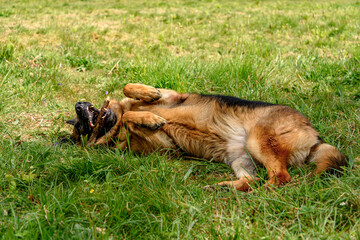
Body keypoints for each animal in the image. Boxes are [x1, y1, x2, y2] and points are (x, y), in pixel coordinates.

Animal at [66, 83, 348, 190]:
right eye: (80, 129)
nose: (79, 104)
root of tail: (316, 140)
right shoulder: (166, 145)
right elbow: (130, 120)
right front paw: (148, 119)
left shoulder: (171, 96)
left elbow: (131, 90)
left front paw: (149, 101)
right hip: (241, 159)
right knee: (260, 180)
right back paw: (224, 187)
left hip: (257, 141)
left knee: (280, 178)